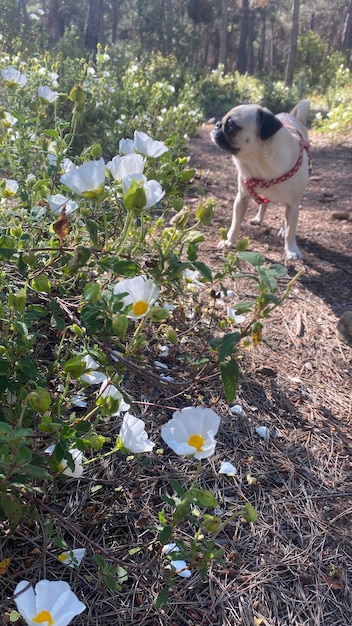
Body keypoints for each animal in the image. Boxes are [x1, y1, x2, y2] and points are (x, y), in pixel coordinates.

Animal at [209, 100, 310, 258]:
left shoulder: (293, 205)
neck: (258, 161)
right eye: (222, 122)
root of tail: (292, 116)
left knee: (286, 220)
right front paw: (229, 241)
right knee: (264, 205)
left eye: (231, 126)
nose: (218, 124)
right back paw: (258, 219)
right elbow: (235, 223)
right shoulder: (241, 198)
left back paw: (283, 230)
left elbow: (291, 231)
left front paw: (292, 250)